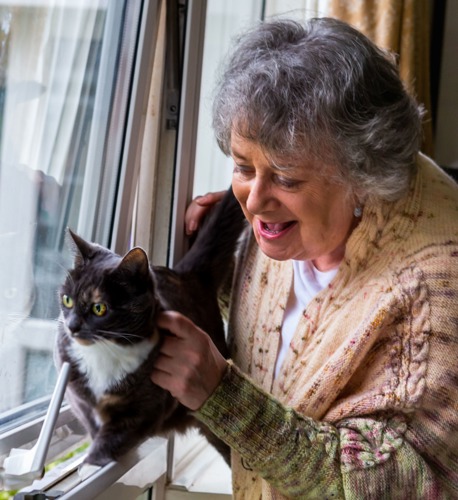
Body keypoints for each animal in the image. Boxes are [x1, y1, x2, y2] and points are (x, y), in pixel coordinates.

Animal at [55, 187, 245, 464]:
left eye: (99, 308)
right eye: (67, 299)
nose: (71, 326)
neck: (104, 351)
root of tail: (186, 275)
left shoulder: (146, 409)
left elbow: (116, 436)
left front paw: (91, 462)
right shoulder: (76, 393)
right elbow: (91, 422)